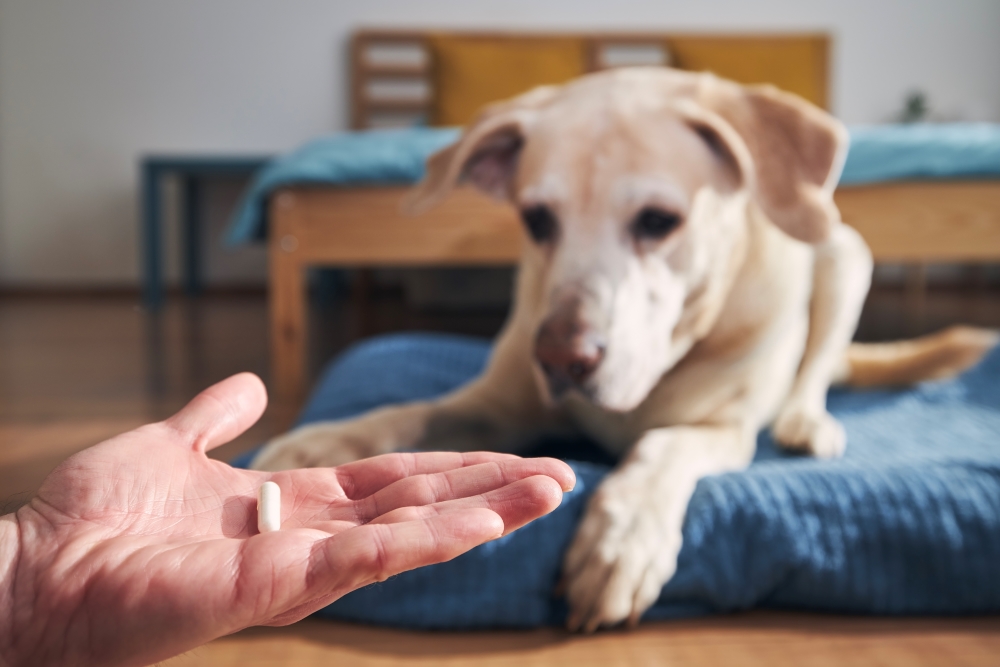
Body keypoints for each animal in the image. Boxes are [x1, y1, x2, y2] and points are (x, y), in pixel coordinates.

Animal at [252, 66, 1000, 632]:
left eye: (659, 221)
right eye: (537, 219)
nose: (561, 359)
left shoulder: (720, 428)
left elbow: (661, 447)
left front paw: (619, 541)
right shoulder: (495, 403)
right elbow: (411, 413)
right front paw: (321, 442)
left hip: (844, 252)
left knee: (818, 365)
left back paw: (807, 421)